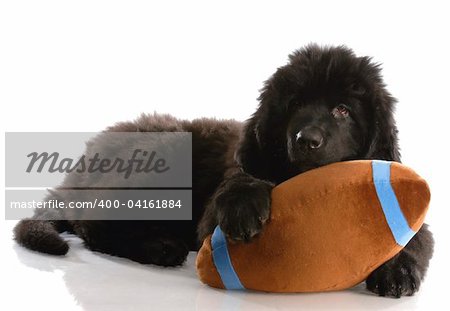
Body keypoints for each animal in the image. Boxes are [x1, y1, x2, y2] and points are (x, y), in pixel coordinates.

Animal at [14, 44, 432, 298]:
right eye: (295, 104)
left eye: (343, 110)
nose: (306, 139)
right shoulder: (214, 208)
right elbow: (239, 182)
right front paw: (244, 207)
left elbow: (416, 238)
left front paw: (396, 270)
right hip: (161, 157)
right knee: (92, 222)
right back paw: (159, 246)